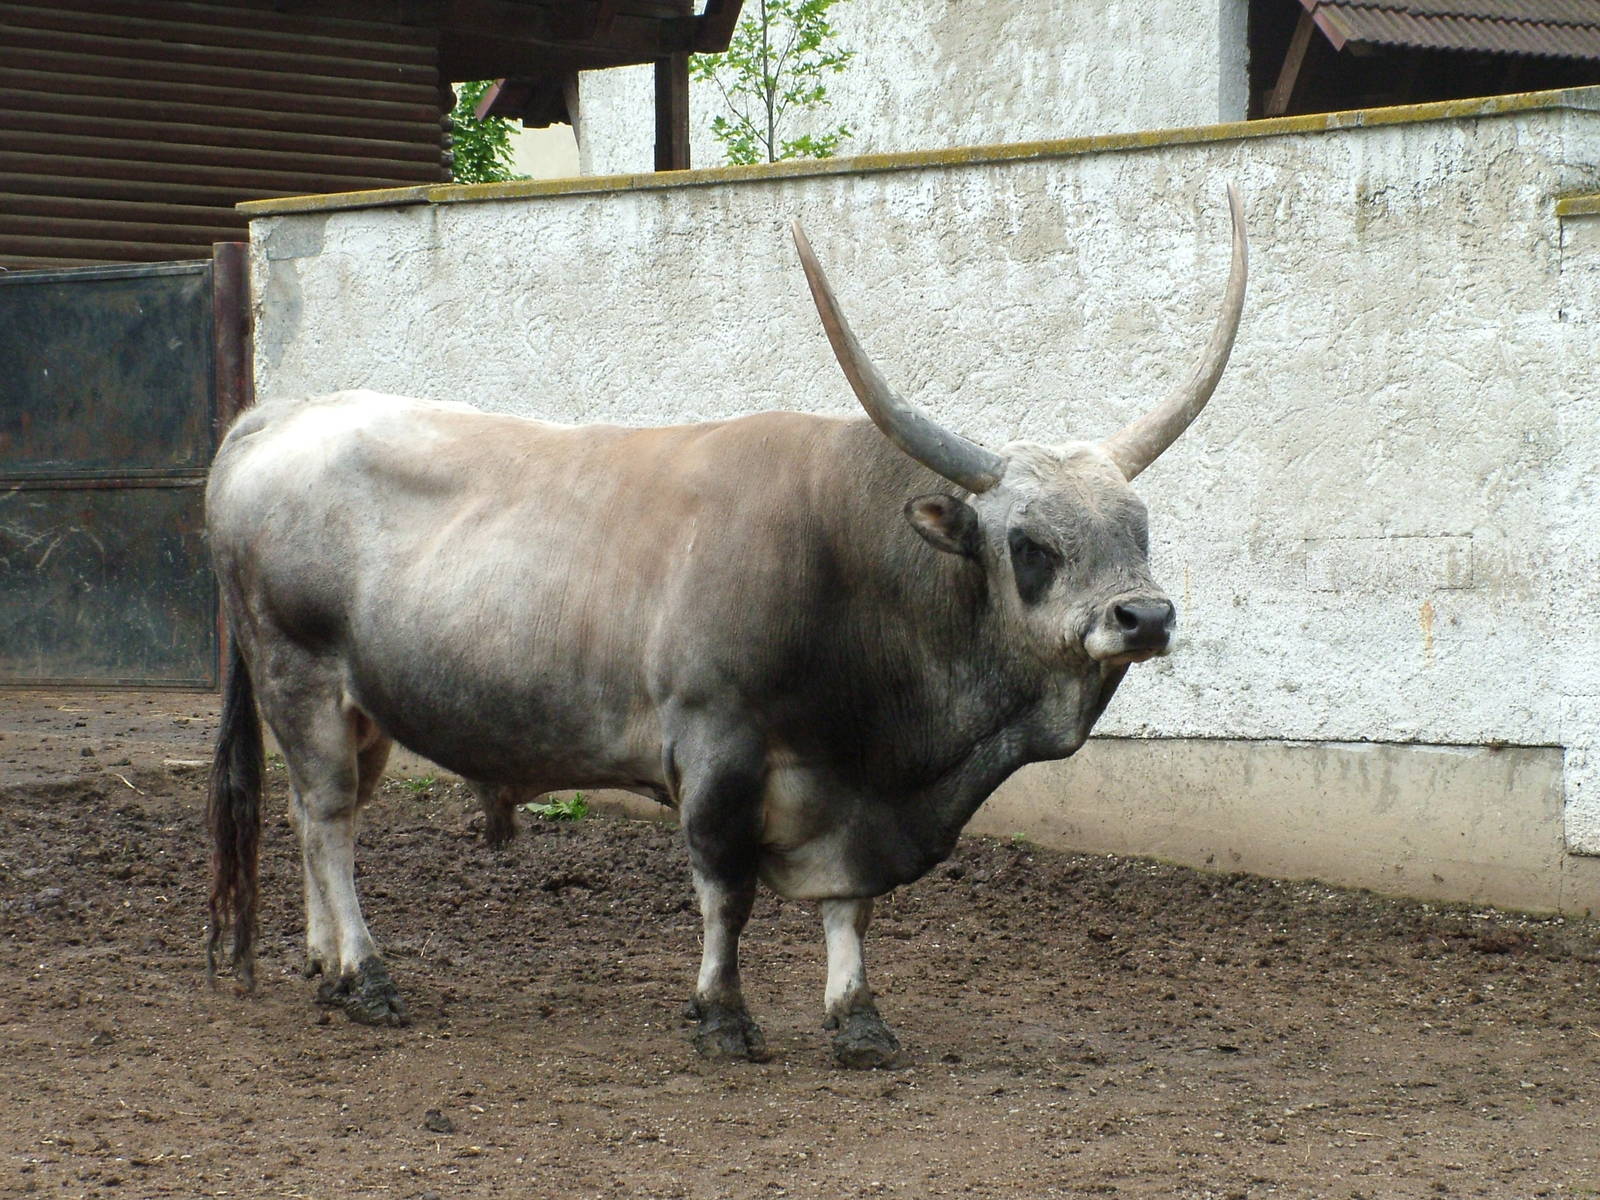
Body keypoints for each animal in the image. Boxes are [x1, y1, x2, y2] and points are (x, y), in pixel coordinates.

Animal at [206, 187, 1247, 1068]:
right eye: (1030, 543)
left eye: (1139, 527)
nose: (1144, 616)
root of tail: (276, 417)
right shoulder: (717, 745)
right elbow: (726, 889)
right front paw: (722, 1017)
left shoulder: (852, 790)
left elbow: (850, 908)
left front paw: (857, 1019)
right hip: (298, 675)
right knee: (327, 819)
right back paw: (366, 975)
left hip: (364, 706)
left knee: (314, 818)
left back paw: (325, 967)